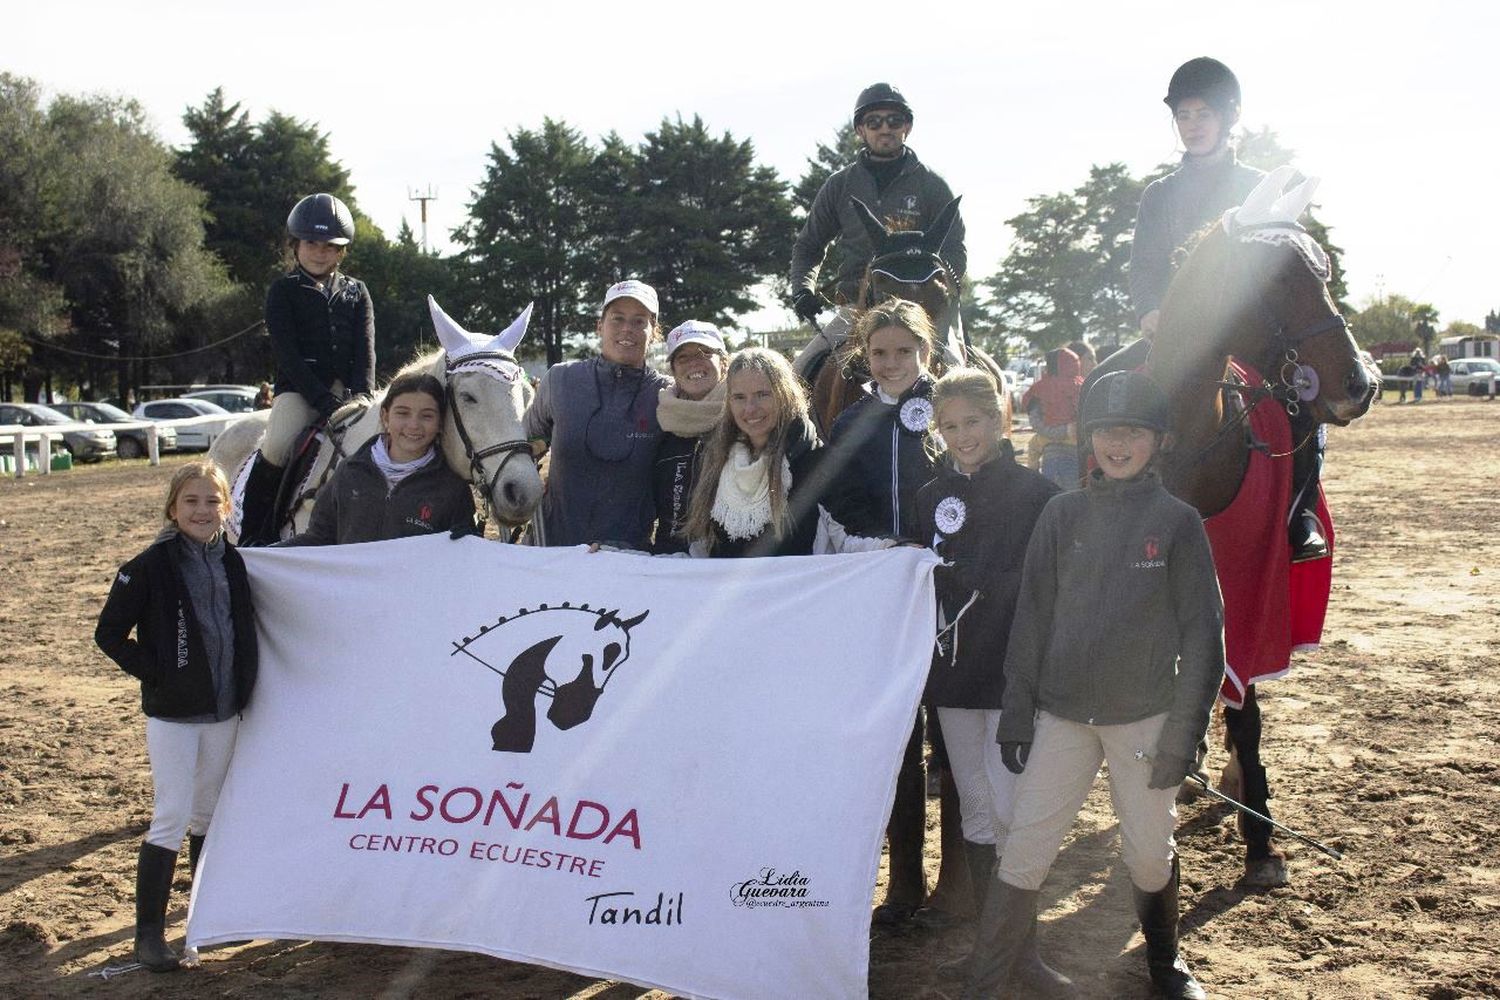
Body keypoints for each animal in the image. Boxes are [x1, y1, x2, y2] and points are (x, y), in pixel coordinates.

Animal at [1098, 167, 1374, 887]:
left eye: (1324, 270)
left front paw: (1261, 840)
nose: (1361, 383)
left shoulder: (1244, 598)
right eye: (1274, 279)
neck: (1190, 441)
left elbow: (1246, 713)